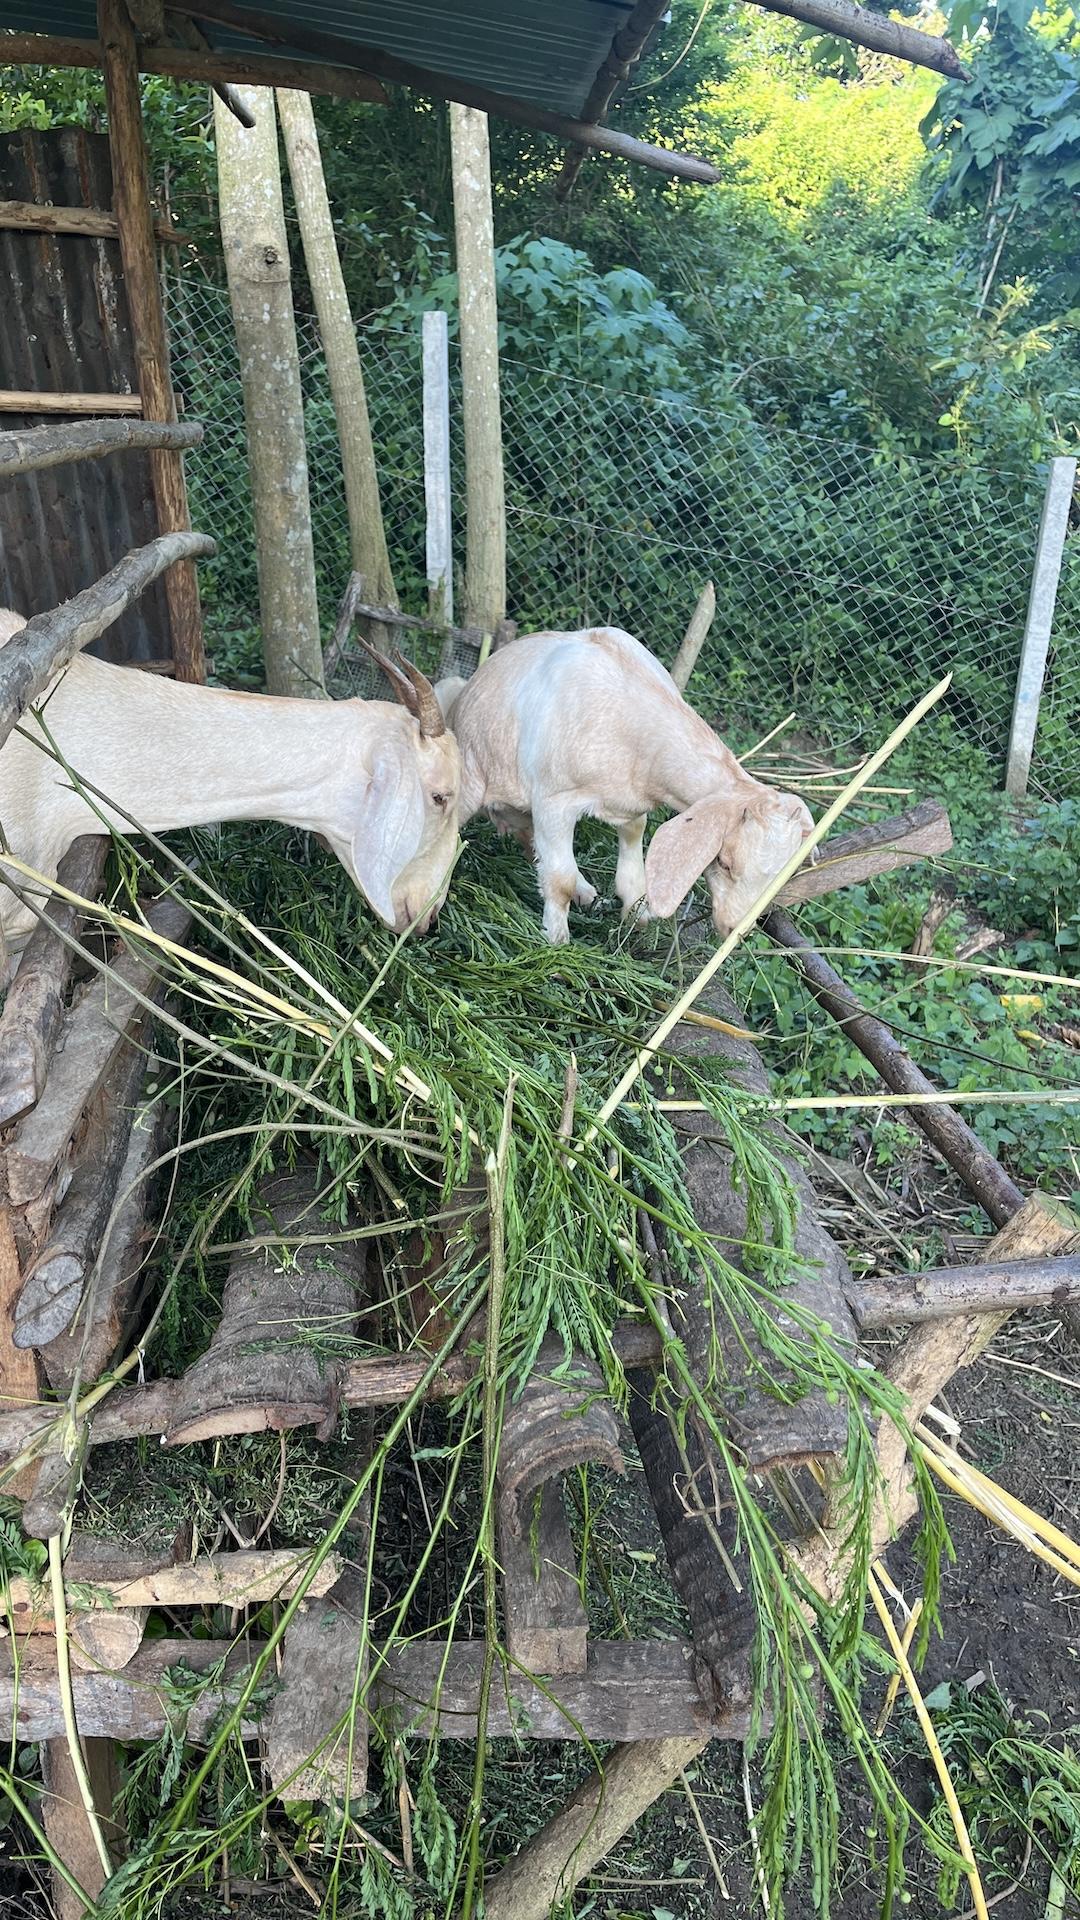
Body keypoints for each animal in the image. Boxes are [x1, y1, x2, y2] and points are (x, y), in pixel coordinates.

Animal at [435, 626, 813, 945]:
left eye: (781, 873)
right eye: (724, 862)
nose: (736, 929)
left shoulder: (630, 804)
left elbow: (632, 851)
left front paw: (635, 911)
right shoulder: (554, 802)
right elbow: (558, 881)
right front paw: (557, 943)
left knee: (528, 839)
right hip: (472, 778)